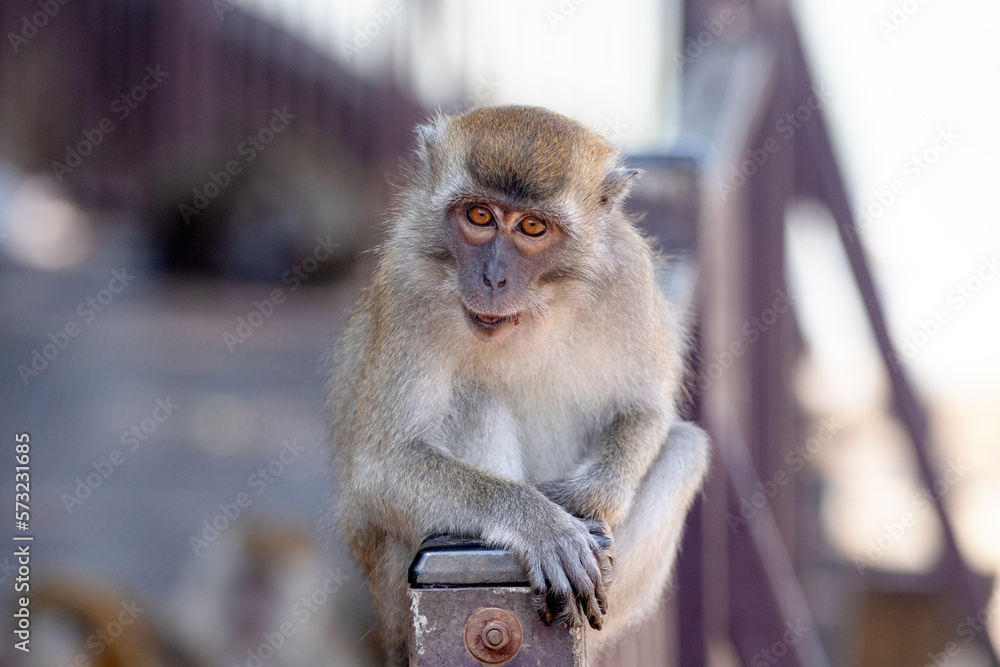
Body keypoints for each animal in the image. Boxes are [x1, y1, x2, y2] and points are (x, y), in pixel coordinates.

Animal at [327, 104, 710, 665]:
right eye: (479, 217)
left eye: (532, 226)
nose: (492, 277)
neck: (536, 313)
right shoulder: (407, 283)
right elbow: (382, 466)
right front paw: (539, 522)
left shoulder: (627, 274)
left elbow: (647, 409)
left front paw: (580, 496)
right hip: (396, 598)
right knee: (474, 398)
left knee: (684, 446)